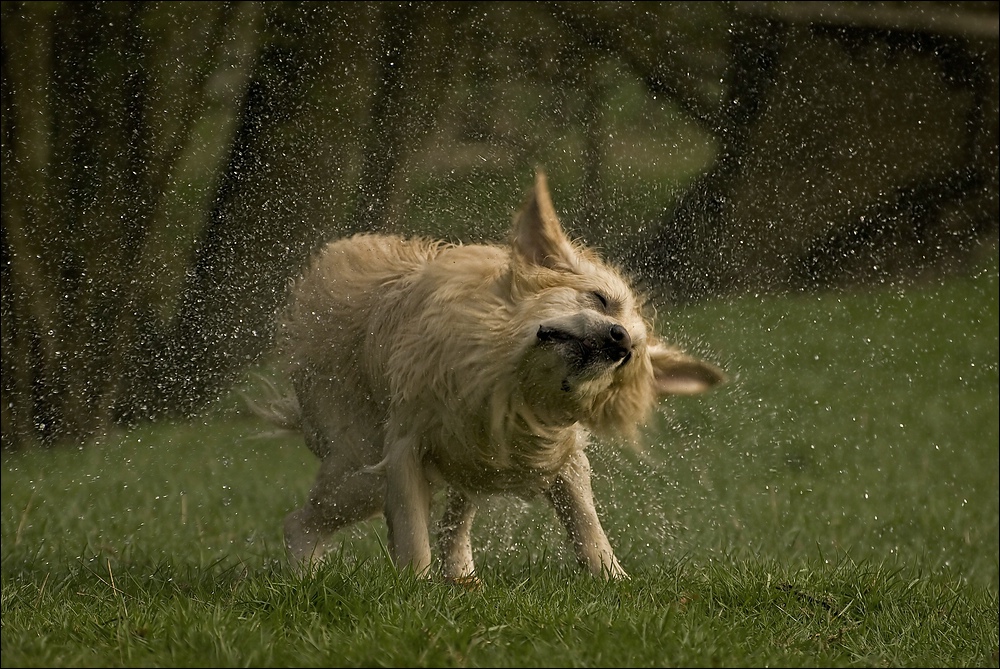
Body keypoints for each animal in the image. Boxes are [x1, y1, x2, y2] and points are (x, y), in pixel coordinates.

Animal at [256, 171, 728, 580]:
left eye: (629, 361)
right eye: (600, 299)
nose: (621, 340)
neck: (506, 379)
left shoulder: (552, 455)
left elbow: (587, 524)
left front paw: (614, 580)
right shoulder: (405, 447)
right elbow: (413, 537)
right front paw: (415, 592)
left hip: (458, 463)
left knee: (454, 518)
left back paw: (462, 577)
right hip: (361, 468)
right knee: (299, 522)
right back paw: (306, 578)